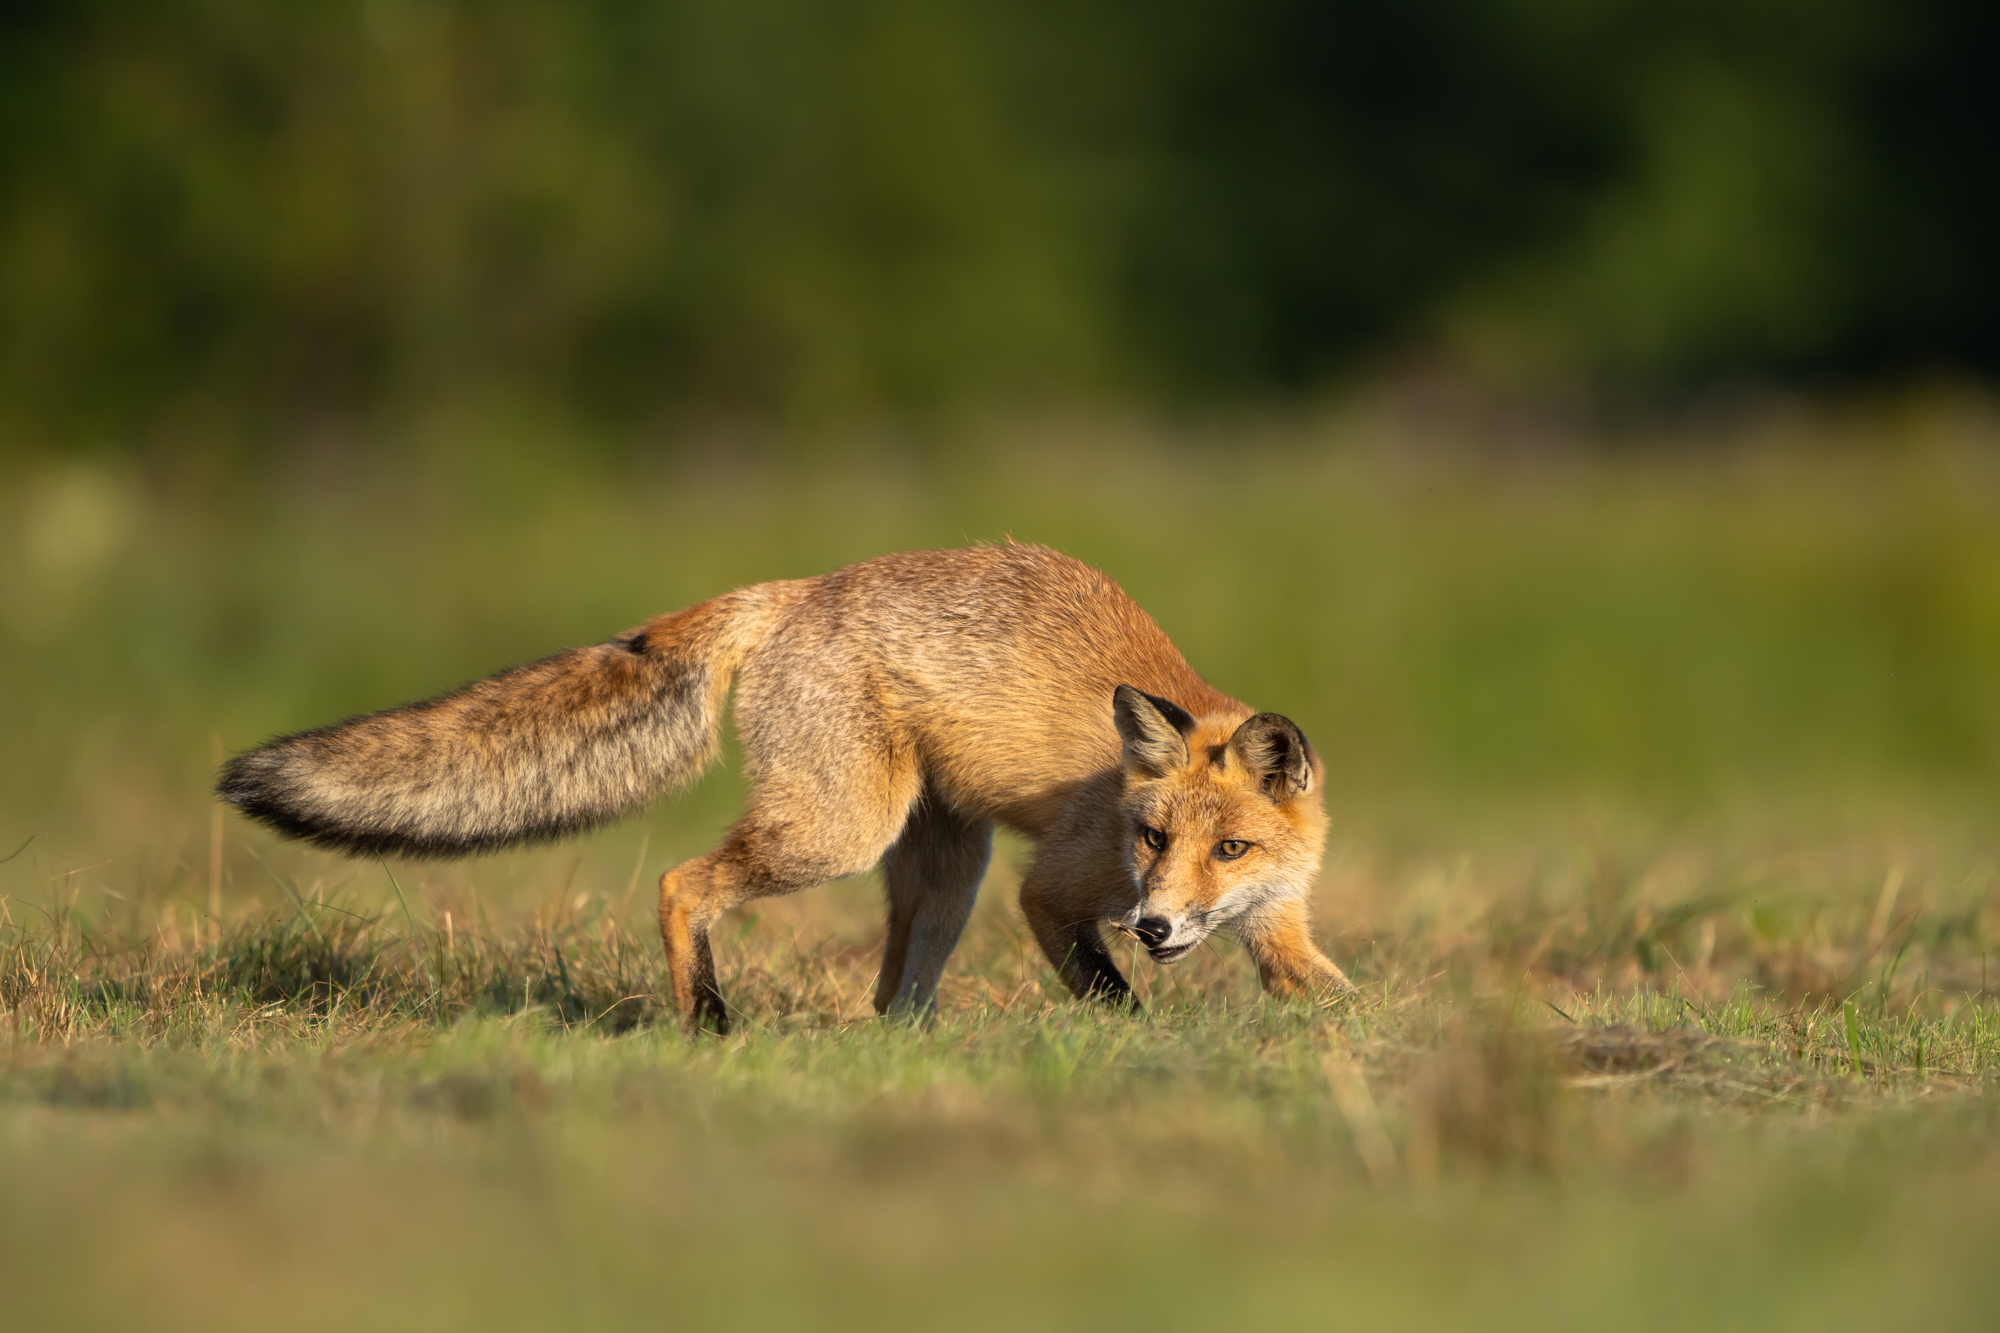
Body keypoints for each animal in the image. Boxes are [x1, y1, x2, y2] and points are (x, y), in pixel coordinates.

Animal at [217, 543, 1352, 1031]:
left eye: (1231, 848)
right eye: (1151, 839)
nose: (1155, 925)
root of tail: (797, 586)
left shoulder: (1274, 921)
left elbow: (1340, 999)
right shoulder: (1054, 888)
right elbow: (1114, 999)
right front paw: (1136, 1043)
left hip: (943, 865)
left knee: (891, 991)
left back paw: (899, 1052)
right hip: (837, 833)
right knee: (681, 883)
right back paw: (707, 1020)